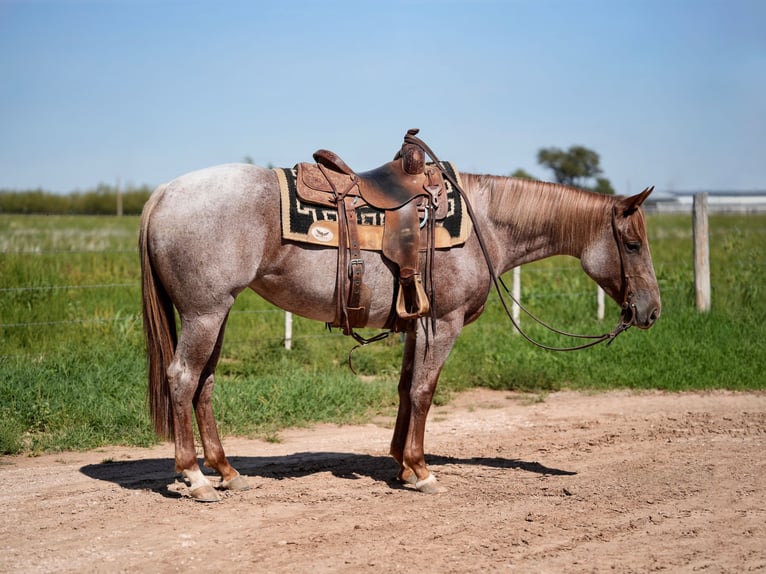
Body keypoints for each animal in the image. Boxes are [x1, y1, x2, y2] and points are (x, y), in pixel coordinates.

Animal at [139, 150, 661, 501]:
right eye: (633, 244)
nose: (651, 311)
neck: (485, 224)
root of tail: (164, 192)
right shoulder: (442, 323)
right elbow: (425, 392)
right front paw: (421, 470)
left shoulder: (416, 325)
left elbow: (406, 388)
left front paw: (401, 465)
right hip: (205, 312)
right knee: (182, 379)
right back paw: (195, 478)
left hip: (216, 313)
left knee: (205, 383)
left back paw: (226, 471)